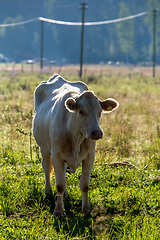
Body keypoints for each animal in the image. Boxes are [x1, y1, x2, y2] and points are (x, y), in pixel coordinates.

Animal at [32, 74, 119, 217]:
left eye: (100, 112)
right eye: (81, 111)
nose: (97, 132)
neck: (75, 136)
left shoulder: (89, 156)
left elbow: (84, 184)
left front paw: (86, 210)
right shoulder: (56, 155)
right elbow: (60, 184)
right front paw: (58, 211)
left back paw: (65, 195)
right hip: (43, 149)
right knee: (46, 167)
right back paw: (48, 192)